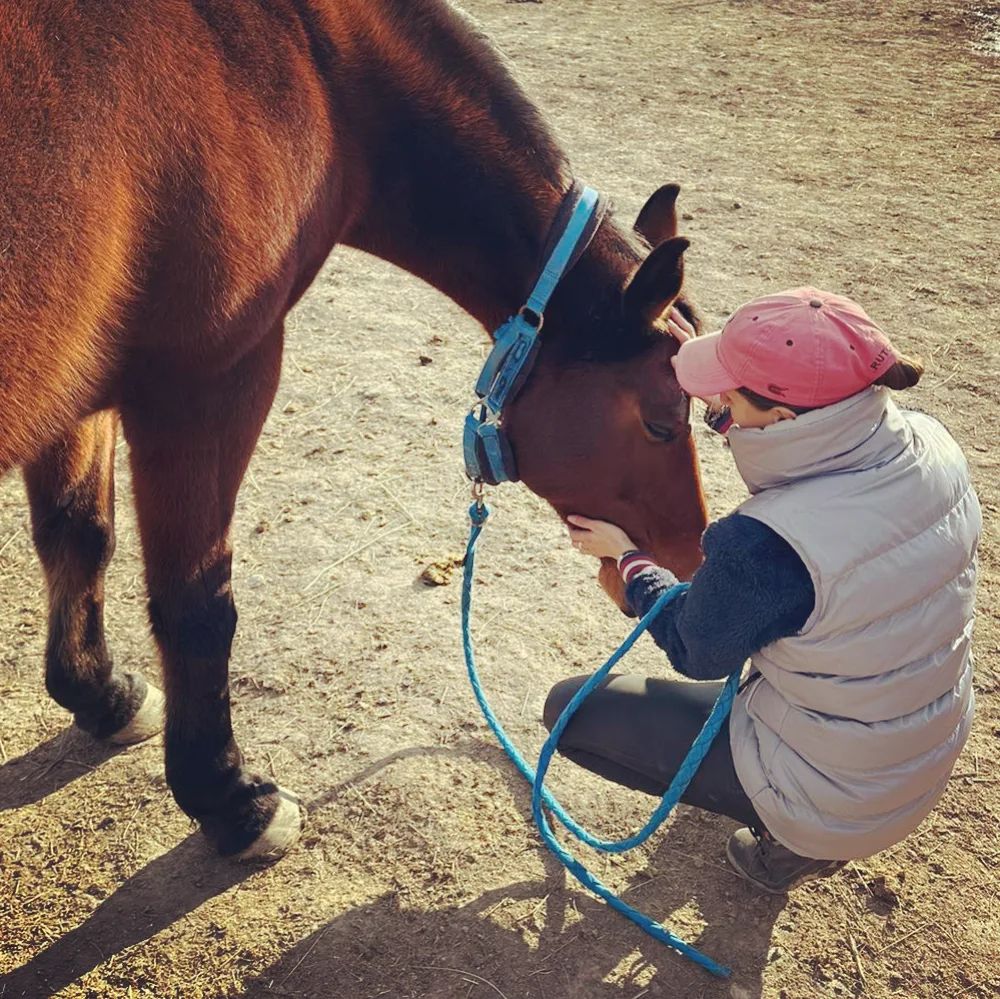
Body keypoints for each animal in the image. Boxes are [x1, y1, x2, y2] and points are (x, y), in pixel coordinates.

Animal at [0, 0, 707, 858]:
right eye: (665, 419)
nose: (694, 560)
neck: (312, 66)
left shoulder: (83, 387)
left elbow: (79, 535)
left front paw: (98, 693)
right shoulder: (209, 383)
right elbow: (199, 601)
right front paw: (229, 798)